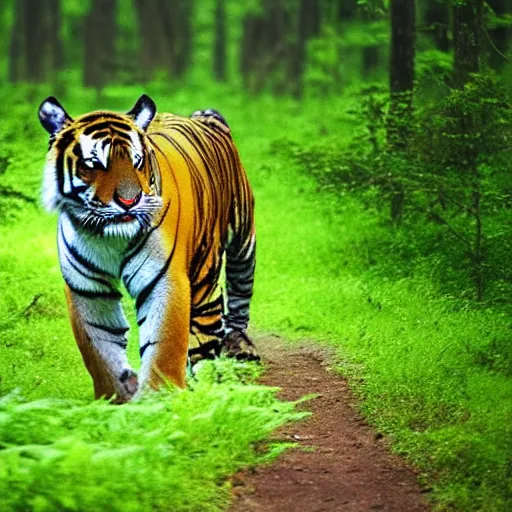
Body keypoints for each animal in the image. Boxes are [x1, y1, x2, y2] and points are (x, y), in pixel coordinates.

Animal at [39, 94, 260, 402]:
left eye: (137, 161)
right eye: (94, 163)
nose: (129, 202)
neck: (109, 237)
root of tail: (203, 117)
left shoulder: (164, 281)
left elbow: (163, 346)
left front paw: (157, 401)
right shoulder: (87, 288)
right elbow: (99, 350)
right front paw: (116, 398)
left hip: (239, 239)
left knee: (235, 295)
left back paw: (235, 348)